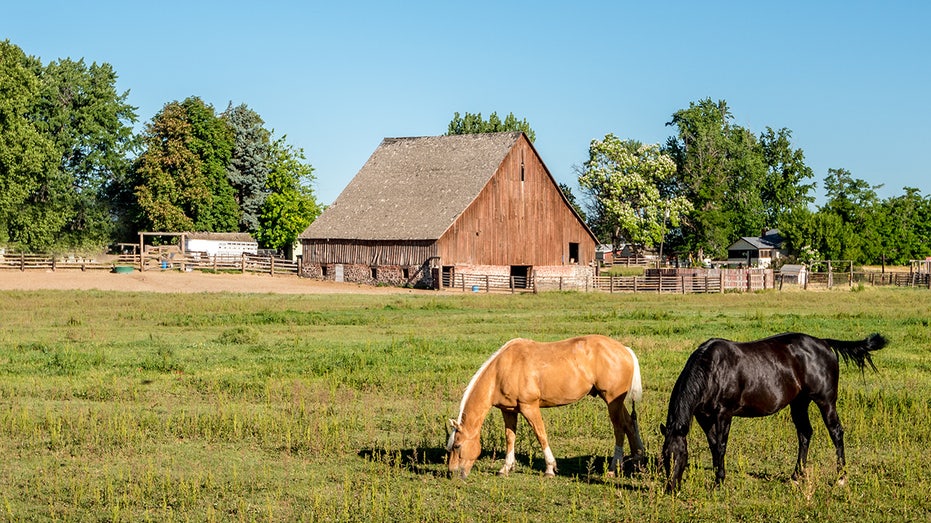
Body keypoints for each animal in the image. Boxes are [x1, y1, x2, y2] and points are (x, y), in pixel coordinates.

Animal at [448, 336, 644, 478]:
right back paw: (637, 459)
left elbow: (541, 435)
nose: (451, 473)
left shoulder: (529, 407)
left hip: (612, 402)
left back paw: (613, 467)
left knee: (619, 428)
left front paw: (550, 468)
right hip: (616, 403)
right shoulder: (509, 411)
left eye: (457, 446)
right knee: (629, 424)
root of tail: (625, 350)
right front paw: (506, 468)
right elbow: (510, 438)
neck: (501, 371)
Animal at [660, 334, 884, 494]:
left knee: (836, 432)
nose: (671, 489)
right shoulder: (703, 417)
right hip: (799, 402)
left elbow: (721, 446)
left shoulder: (724, 413)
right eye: (664, 457)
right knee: (805, 433)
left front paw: (719, 482)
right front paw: (718, 478)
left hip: (826, 402)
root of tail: (823, 343)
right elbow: (714, 446)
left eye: (681, 456)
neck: (712, 369)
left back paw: (841, 478)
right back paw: (796, 475)